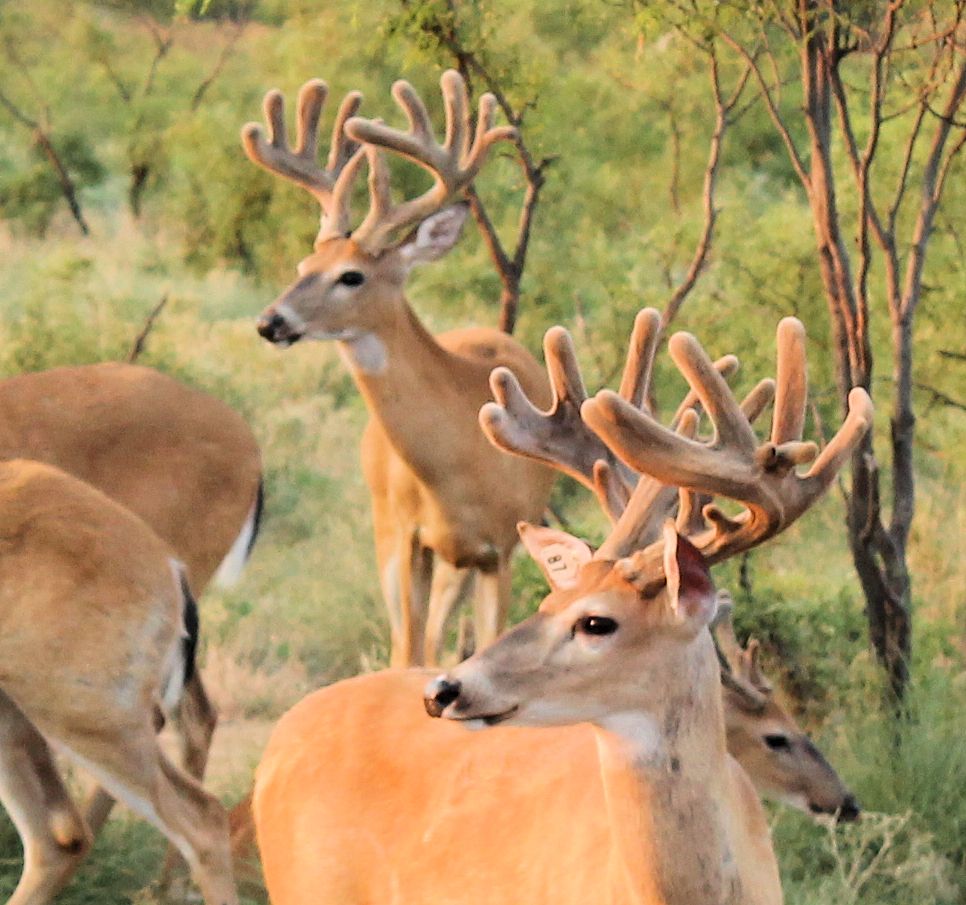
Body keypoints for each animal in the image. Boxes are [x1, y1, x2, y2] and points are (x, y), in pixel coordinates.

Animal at [242, 70, 555, 667]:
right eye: (304, 264)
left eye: (351, 276)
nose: (271, 321)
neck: (458, 465)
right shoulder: (403, 536)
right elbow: (406, 654)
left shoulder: (500, 546)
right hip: (396, 535)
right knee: (416, 643)